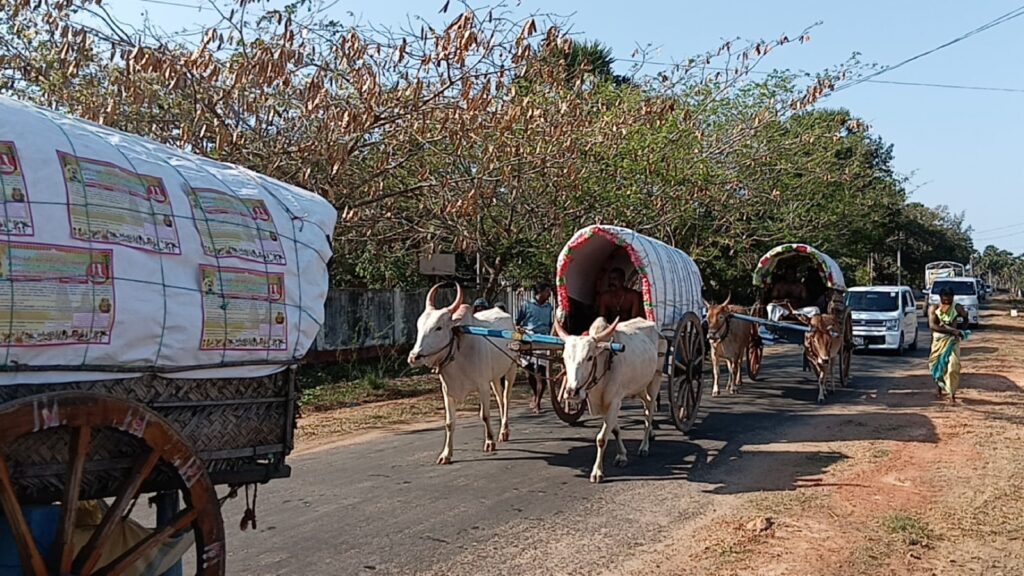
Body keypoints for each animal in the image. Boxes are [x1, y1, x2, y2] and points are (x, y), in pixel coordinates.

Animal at [408, 283, 518, 465]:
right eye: (418, 327)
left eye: (438, 328)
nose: (414, 357)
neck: (459, 351)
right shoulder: (447, 391)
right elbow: (449, 423)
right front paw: (446, 454)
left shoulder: (482, 386)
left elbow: (485, 415)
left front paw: (489, 442)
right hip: (495, 377)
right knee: (500, 399)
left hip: (511, 369)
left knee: (506, 399)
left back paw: (504, 431)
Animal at [554, 316, 661, 483]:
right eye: (564, 357)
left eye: (590, 357)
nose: (572, 392)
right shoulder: (604, 405)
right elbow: (615, 429)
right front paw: (622, 456)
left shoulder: (614, 402)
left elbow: (601, 438)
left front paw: (597, 472)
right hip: (639, 386)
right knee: (647, 405)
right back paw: (650, 434)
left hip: (655, 380)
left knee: (649, 411)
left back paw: (644, 446)